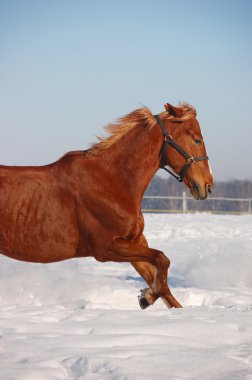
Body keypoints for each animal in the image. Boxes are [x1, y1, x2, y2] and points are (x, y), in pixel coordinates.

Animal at [0, 103, 213, 308]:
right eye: (197, 140)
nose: (208, 186)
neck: (111, 181)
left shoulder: (135, 241)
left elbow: (164, 287)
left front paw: (148, 297)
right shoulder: (107, 248)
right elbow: (162, 259)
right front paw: (147, 297)